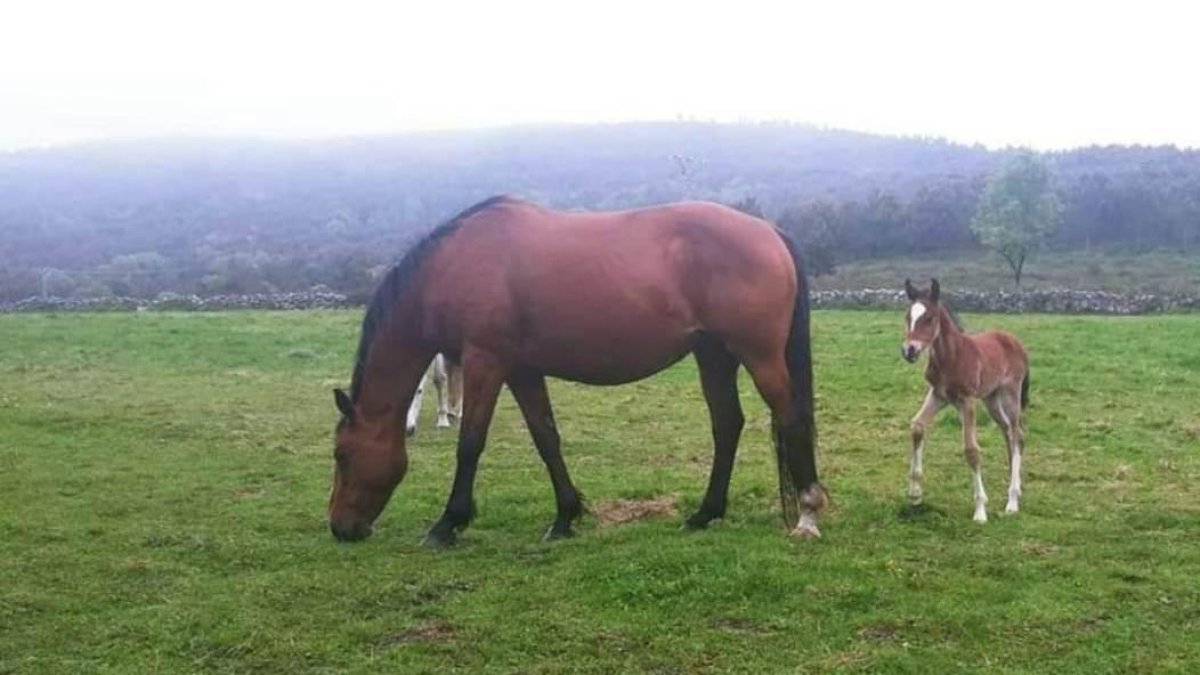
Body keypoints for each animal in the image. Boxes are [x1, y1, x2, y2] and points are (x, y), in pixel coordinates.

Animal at [328, 195, 825, 547]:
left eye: (341, 455)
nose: (340, 527)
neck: (453, 264)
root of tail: (768, 231)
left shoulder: (485, 361)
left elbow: (470, 444)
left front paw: (448, 523)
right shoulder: (522, 370)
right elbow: (547, 439)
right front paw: (565, 517)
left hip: (759, 356)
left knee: (792, 418)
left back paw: (807, 514)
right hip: (714, 355)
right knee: (727, 425)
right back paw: (705, 514)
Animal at [900, 278, 1030, 523]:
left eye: (929, 318)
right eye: (907, 317)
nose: (908, 351)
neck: (951, 356)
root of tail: (1015, 341)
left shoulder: (967, 400)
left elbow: (971, 450)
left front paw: (980, 510)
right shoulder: (938, 394)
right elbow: (917, 426)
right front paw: (915, 493)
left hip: (1010, 393)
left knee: (1017, 434)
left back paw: (1012, 501)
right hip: (991, 398)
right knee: (1008, 431)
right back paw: (1015, 486)